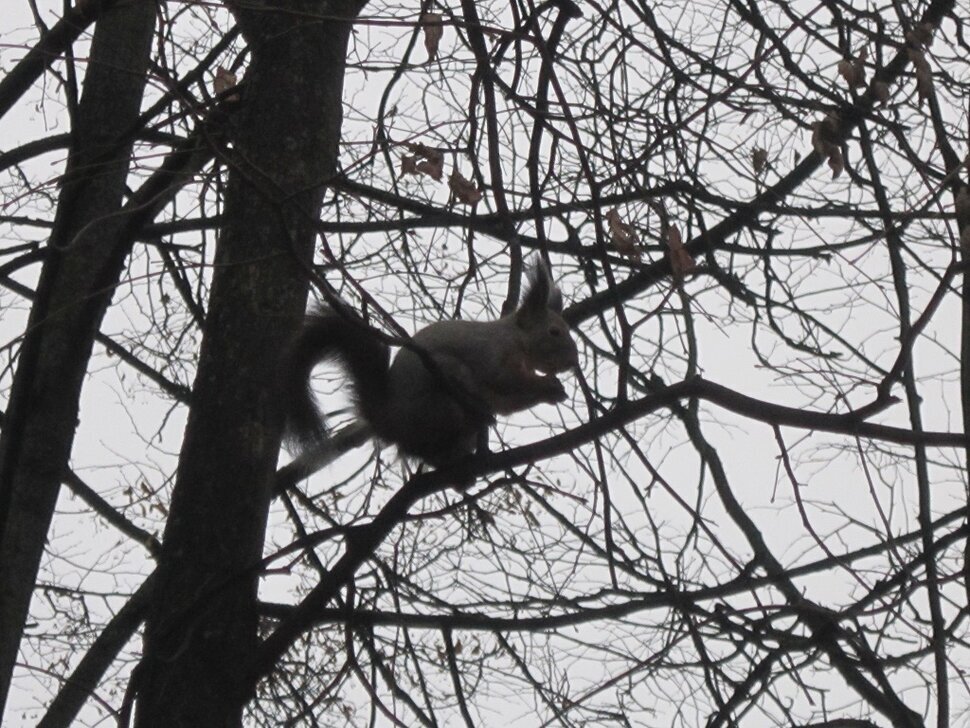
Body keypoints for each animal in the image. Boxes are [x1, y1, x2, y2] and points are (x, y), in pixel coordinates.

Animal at [284, 262, 580, 466]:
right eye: (554, 332)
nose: (573, 361)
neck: (516, 341)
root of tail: (391, 421)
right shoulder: (490, 354)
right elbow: (505, 381)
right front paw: (548, 385)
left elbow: (508, 402)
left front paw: (554, 391)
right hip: (441, 401)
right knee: (425, 446)